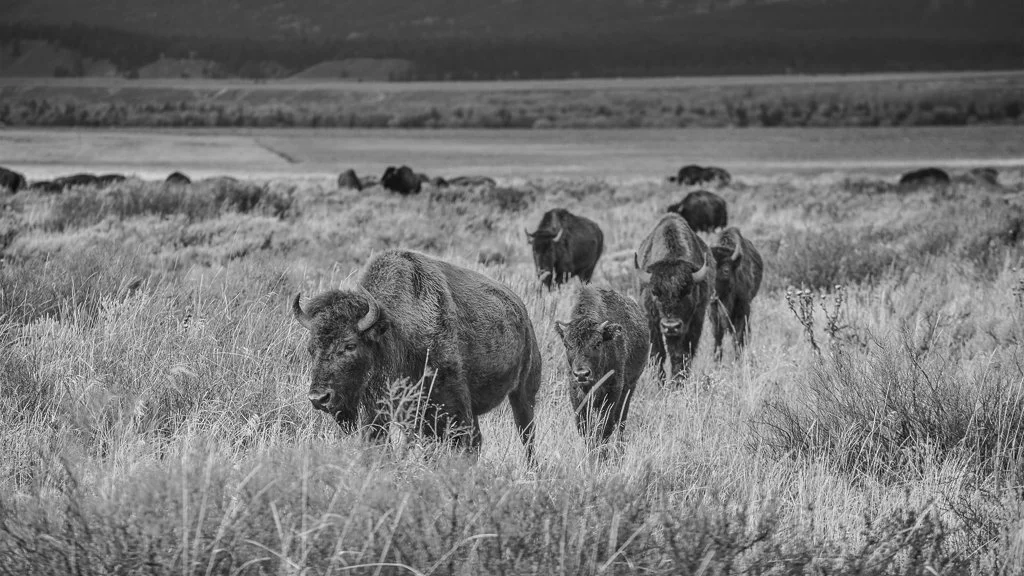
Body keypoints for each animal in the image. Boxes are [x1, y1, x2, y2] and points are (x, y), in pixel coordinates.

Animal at [293, 249, 542, 463]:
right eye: (311, 348)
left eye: (350, 345)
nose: (319, 398)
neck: (396, 330)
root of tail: (523, 311)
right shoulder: (379, 412)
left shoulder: (452, 409)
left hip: (523, 394)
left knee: (527, 437)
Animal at [554, 286, 650, 448]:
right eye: (567, 345)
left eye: (598, 343)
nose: (582, 374)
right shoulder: (576, 392)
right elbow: (585, 428)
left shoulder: (613, 390)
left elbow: (605, 427)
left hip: (630, 387)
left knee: (620, 422)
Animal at [635, 213, 716, 381]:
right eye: (655, 292)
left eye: (687, 291)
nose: (671, 326)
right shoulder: (651, 321)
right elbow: (657, 354)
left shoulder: (694, 321)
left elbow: (681, 355)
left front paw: (677, 383)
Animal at [709, 227, 763, 361]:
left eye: (726, 270)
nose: (712, 296)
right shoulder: (713, 313)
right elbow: (718, 338)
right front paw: (717, 360)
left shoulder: (743, 310)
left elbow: (737, 338)